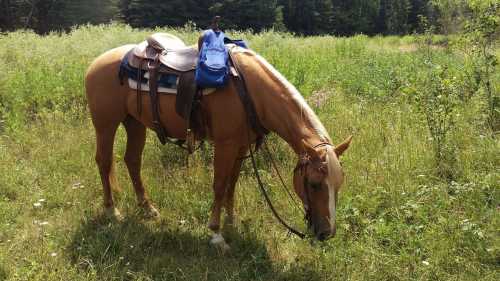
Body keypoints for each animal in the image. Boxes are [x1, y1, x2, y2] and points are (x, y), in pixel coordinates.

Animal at [85, 40, 352, 246]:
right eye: (315, 184)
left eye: (338, 184)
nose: (327, 234)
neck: (249, 90)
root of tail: (95, 63)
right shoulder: (225, 145)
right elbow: (219, 185)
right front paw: (216, 233)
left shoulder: (241, 146)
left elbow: (232, 184)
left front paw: (231, 220)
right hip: (106, 124)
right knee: (104, 161)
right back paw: (112, 210)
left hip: (134, 122)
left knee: (132, 160)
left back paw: (147, 208)